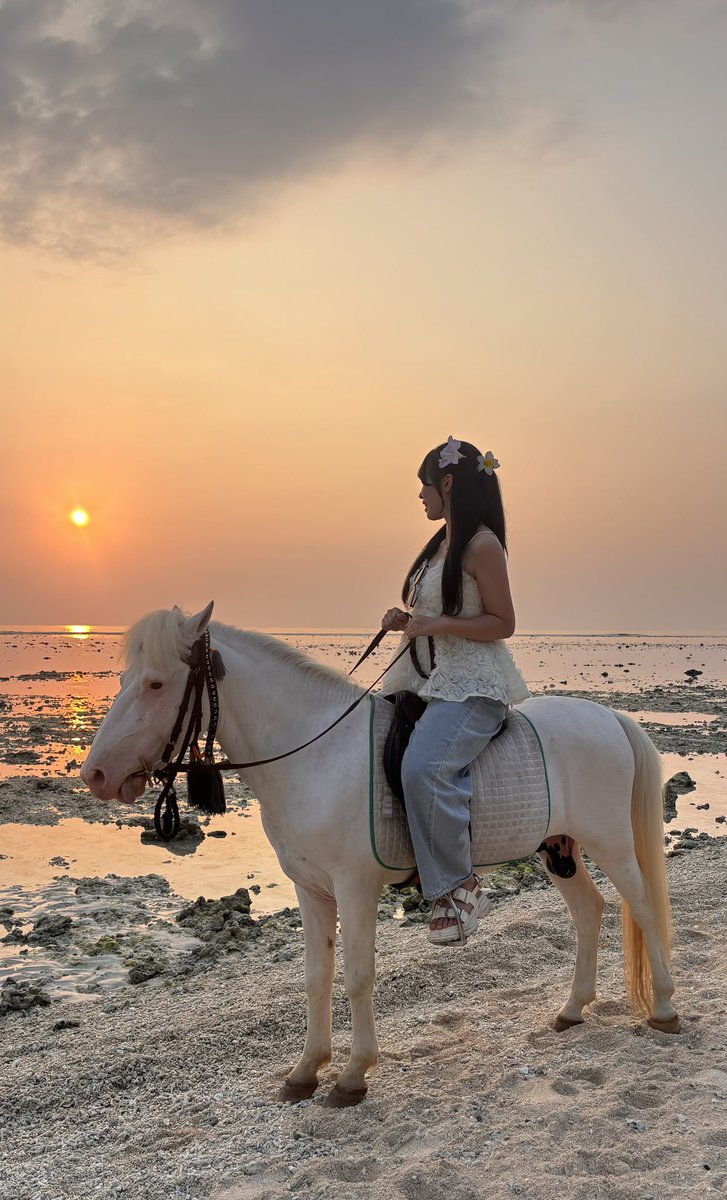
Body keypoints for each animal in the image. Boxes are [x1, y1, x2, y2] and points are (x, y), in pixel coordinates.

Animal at [81, 603, 679, 1107]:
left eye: (156, 683)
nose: (96, 775)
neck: (315, 754)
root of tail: (610, 718)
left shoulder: (355, 888)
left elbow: (357, 976)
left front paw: (352, 1075)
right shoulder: (311, 890)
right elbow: (316, 976)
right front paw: (306, 1069)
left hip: (611, 844)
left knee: (645, 909)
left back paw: (666, 1009)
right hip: (560, 849)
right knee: (589, 911)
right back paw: (573, 1009)